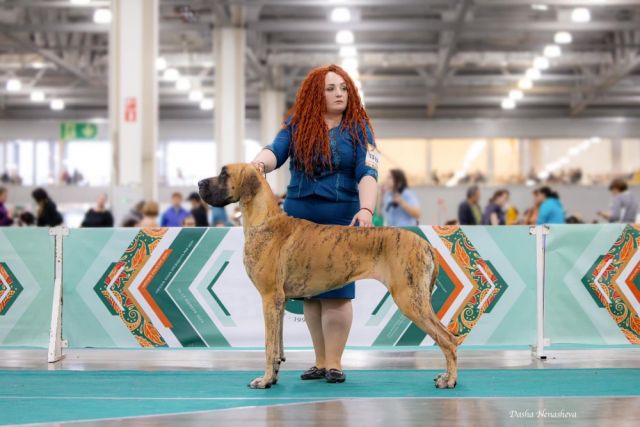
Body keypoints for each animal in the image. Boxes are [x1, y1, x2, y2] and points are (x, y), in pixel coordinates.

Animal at [198, 164, 458, 389]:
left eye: (224, 174)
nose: (199, 182)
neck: (265, 219)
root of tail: (425, 244)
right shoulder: (279, 302)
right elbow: (277, 345)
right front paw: (273, 376)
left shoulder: (269, 298)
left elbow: (268, 345)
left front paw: (263, 380)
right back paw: (445, 376)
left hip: (410, 299)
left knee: (448, 339)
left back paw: (450, 380)